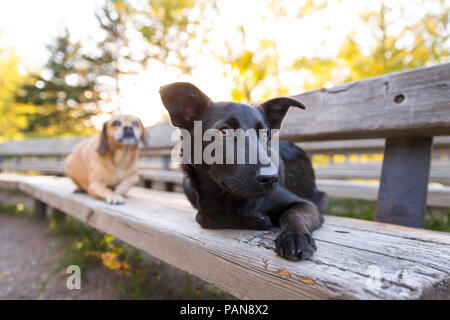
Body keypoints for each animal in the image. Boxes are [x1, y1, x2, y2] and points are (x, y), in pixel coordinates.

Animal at [158, 82, 326, 260]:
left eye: (265, 135)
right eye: (224, 132)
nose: (271, 179)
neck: (227, 197)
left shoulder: (306, 204)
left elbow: (293, 214)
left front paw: (295, 236)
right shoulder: (201, 207)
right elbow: (202, 217)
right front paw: (259, 219)